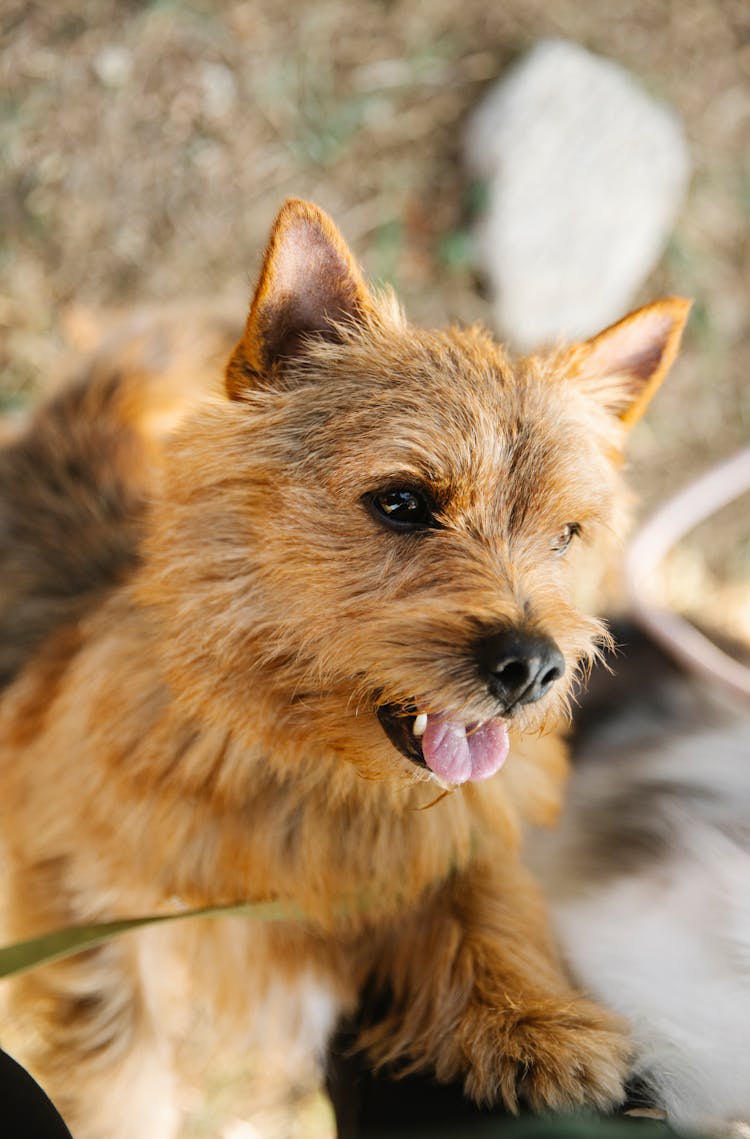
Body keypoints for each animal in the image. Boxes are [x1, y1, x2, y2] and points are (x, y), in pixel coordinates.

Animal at [0, 200, 688, 1134]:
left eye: (567, 533)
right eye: (402, 501)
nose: (533, 666)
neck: (319, 779)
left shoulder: (463, 836)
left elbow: (482, 897)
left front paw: (534, 1021)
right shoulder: (74, 888)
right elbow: (119, 1061)